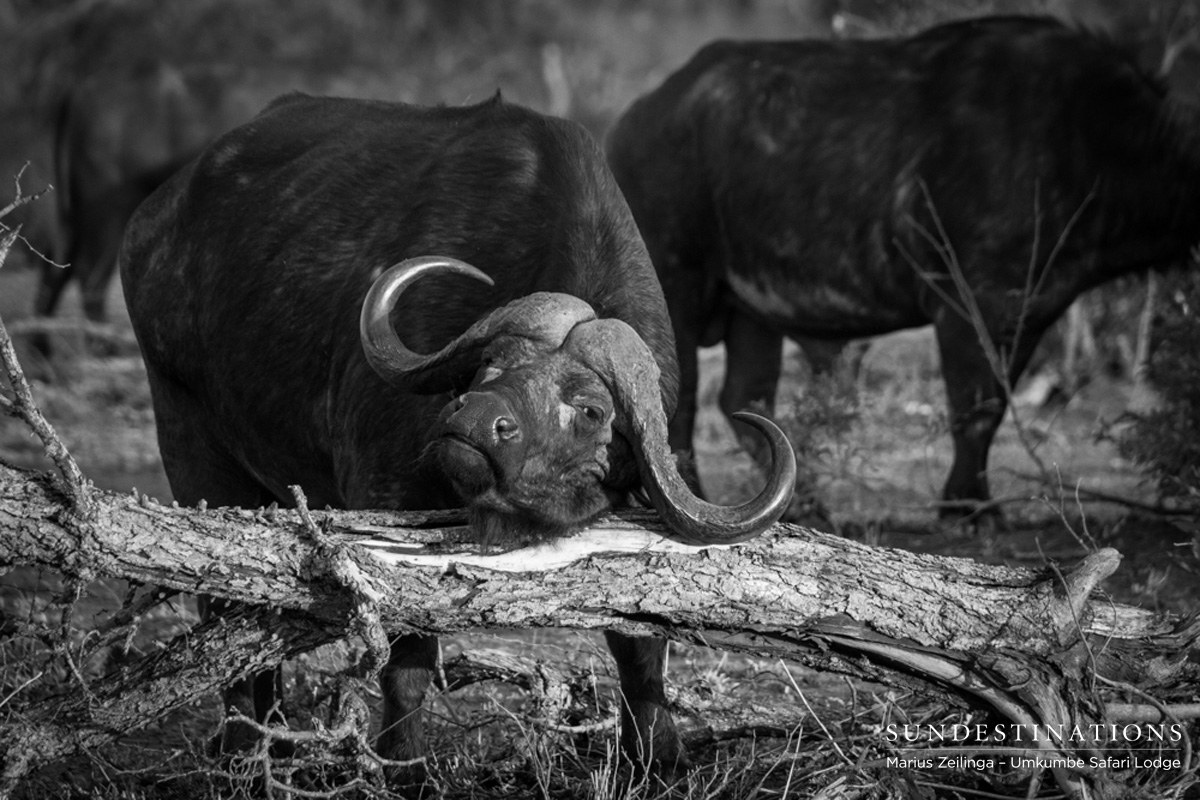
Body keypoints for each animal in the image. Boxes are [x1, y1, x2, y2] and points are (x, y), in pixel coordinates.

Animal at [119, 92, 796, 784]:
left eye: (589, 409)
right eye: (488, 364)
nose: (473, 419)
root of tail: (157, 216)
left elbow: (641, 644)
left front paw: (660, 757)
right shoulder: (385, 508)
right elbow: (409, 662)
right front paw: (404, 765)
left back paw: (273, 741)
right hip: (192, 449)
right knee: (219, 617)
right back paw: (239, 748)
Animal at [606, 15, 1200, 518]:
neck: (1086, 139)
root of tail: (634, 119)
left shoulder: (1029, 312)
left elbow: (994, 408)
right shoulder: (969, 306)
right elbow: (975, 412)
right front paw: (967, 507)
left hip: (752, 311)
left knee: (745, 402)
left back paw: (804, 506)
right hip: (679, 286)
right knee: (680, 402)